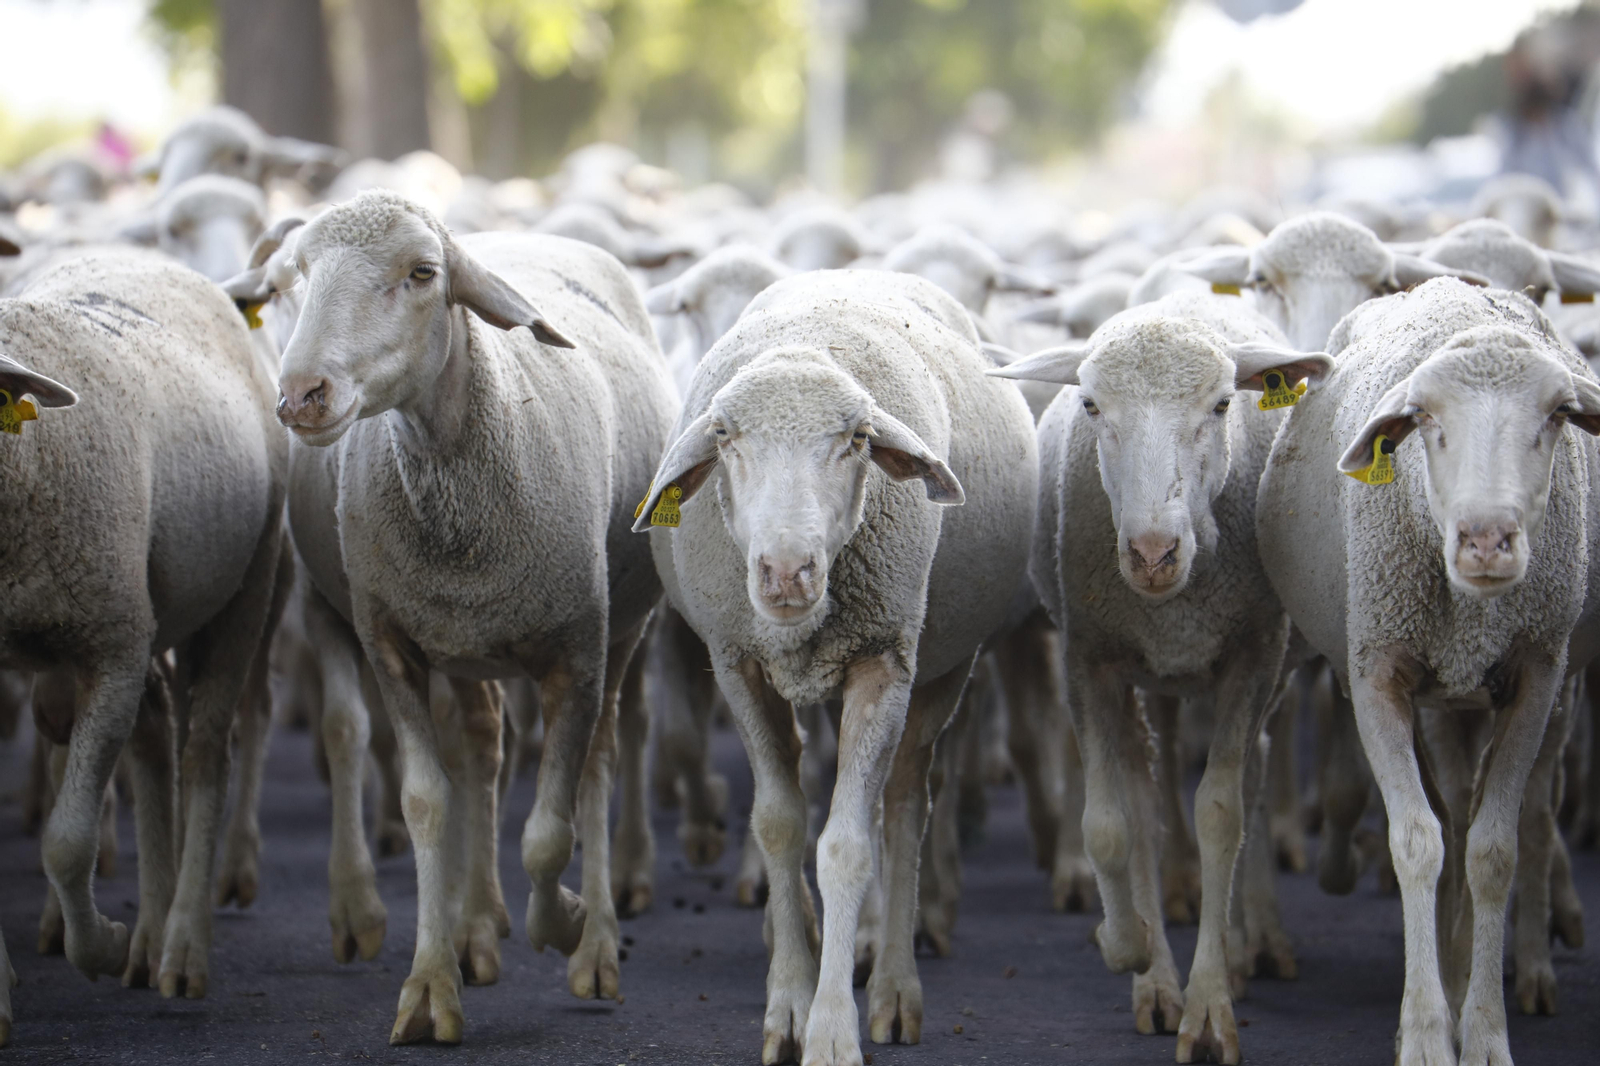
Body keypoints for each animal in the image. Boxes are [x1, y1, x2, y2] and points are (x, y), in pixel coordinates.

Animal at [0, 252, 287, 1010]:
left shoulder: (111, 648)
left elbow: (67, 842)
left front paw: (100, 945)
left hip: (239, 591)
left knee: (205, 751)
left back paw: (179, 947)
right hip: (141, 606)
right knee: (156, 727)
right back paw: (152, 936)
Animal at [267, 190, 678, 1043]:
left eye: (423, 273)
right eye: (300, 272)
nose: (303, 393)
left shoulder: (576, 652)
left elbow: (548, 833)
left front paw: (564, 921)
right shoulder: (393, 641)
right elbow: (426, 801)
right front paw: (429, 987)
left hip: (622, 627)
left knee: (599, 761)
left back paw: (594, 948)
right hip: (461, 641)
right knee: (483, 746)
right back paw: (476, 925)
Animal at [637, 268, 1036, 1066]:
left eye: (857, 439)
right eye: (724, 436)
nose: (787, 572)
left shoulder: (883, 661)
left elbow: (848, 846)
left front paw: (830, 1030)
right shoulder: (739, 662)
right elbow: (781, 824)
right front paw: (787, 1002)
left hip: (938, 666)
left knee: (904, 806)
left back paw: (892, 980)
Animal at [989, 290, 1334, 1063]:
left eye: (1220, 405)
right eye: (1091, 405)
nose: (1153, 553)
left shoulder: (1252, 655)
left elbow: (1221, 814)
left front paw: (1208, 1008)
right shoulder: (1090, 658)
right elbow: (1112, 824)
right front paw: (1133, 954)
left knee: (1251, 779)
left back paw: (1250, 940)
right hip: (1158, 674)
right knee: (1155, 778)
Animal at [1255, 277, 1600, 1066]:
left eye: (1558, 415)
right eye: (1424, 419)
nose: (1486, 539)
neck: (1475, 610)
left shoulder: (1536, 676)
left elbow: (1494, 850)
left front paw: (1485, 1030)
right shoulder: (1378, 673)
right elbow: (1417, 843)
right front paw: (1423, 1032)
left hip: (1542, 686)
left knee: (1519, 819)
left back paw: (1509, 969)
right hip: (1433, 691)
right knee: (1449, 813)